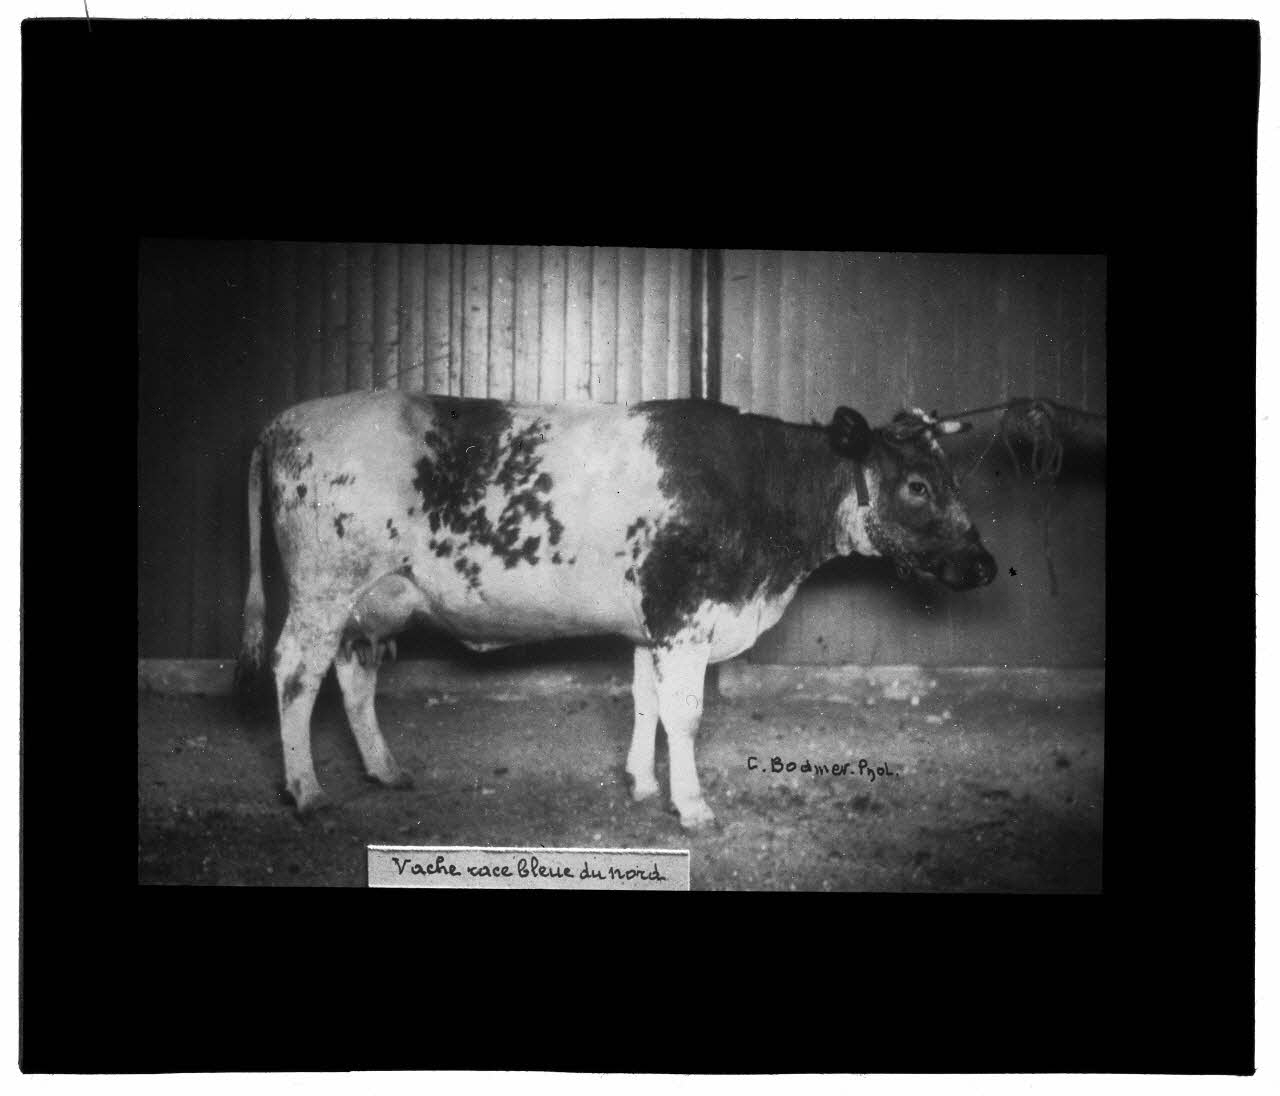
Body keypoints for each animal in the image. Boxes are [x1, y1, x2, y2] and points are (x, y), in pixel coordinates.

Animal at [237, 391, 996, 831]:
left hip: (369, 600)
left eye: (954, 476)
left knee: (354, 673)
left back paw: (384, 768)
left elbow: (644, 703)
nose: (985, 564)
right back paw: (305, 789)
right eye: (918, 485)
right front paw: (691, 807)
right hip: (324, 586)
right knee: (296, 673)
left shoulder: (651, 625)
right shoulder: (685, 617)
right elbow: (684, 715)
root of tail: (285, 419)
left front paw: (640, 783)